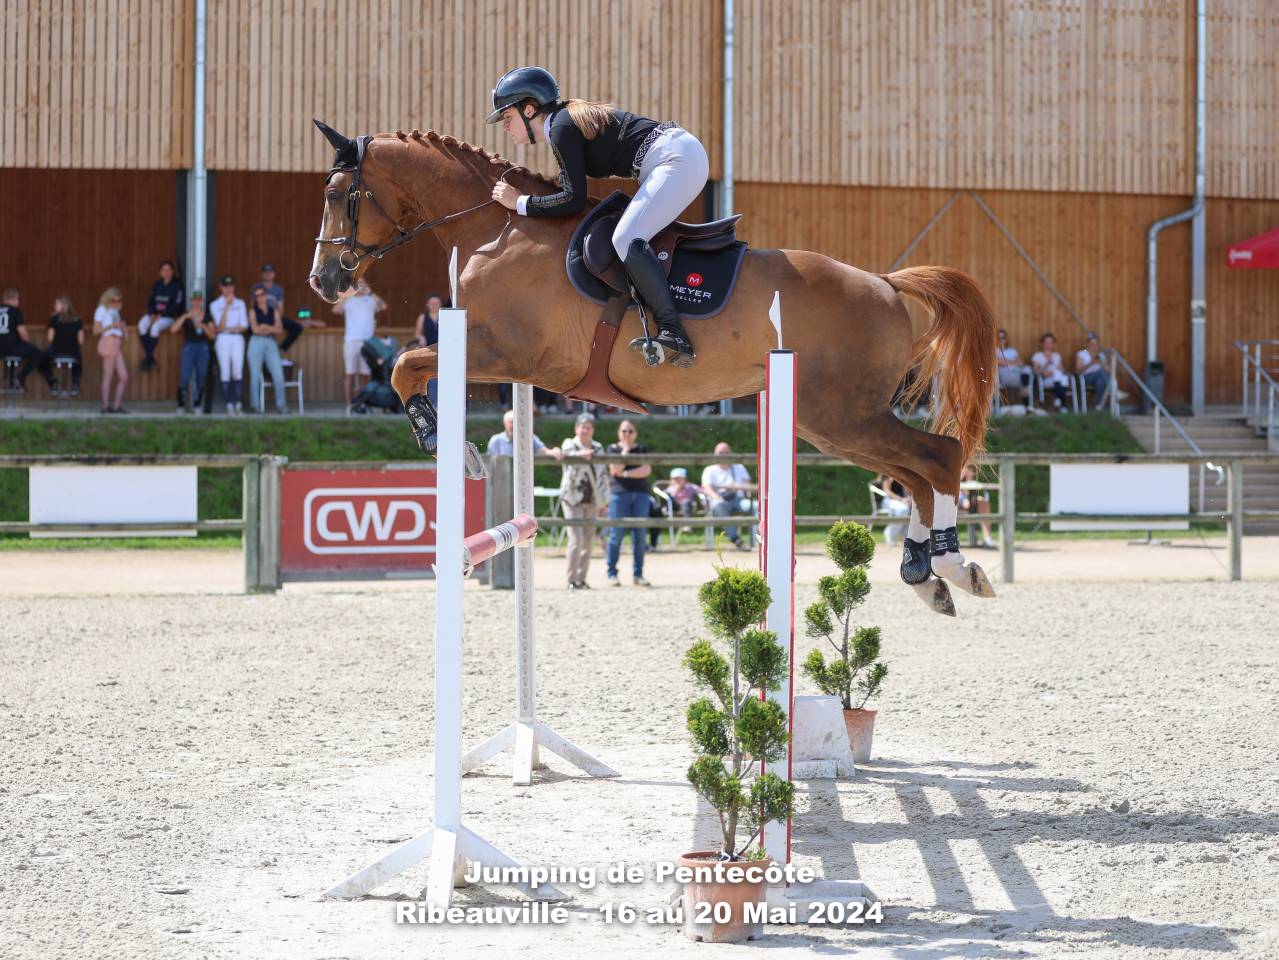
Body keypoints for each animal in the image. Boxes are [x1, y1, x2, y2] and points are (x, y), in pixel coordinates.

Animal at [307, 121, 999, 615]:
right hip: (832, 422)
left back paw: (952, 566)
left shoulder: (508, 352)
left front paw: (446, 443)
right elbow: (409, 365)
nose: (323, 281)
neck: (495, 227)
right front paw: (452, 441)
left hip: (842, 415)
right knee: (915, 474)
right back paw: (926, 574)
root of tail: (887, 284)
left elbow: (404, 366)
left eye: (338, 195)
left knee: (937, 459)